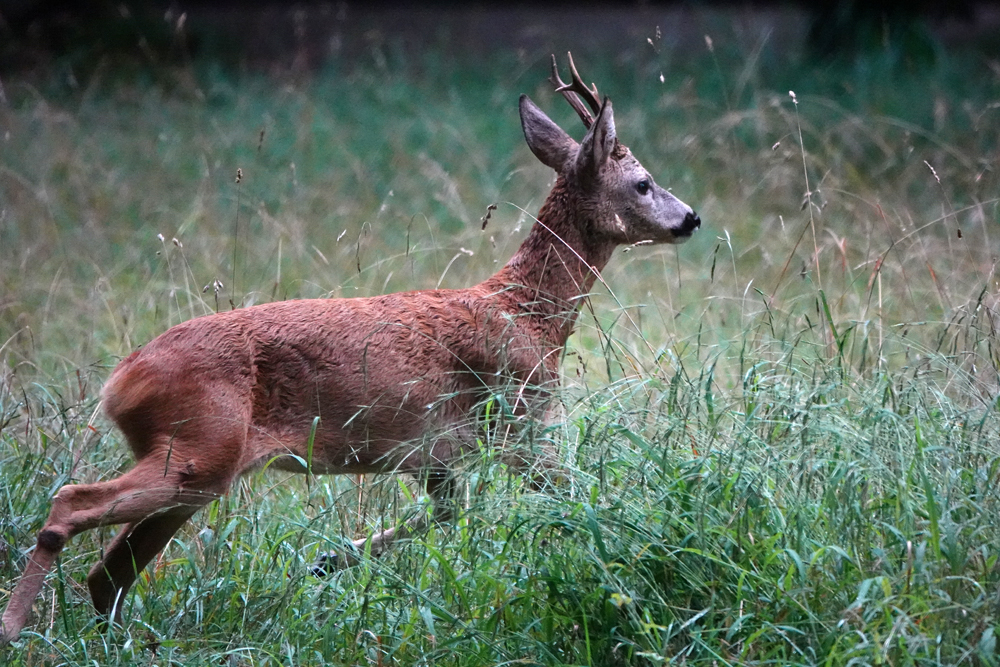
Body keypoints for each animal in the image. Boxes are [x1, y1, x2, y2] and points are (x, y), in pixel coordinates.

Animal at [0, 54, 700, 648]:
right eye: (643, 183)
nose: (690, 218)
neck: (527, 314)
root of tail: (121, 380)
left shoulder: (434, 452)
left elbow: (450, 511)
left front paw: (329, 559)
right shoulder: (521, 416)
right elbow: (577, 498)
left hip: (195, 468)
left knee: (109, 573)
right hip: (200, 448)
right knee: (70, 506)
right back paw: (13, 627)